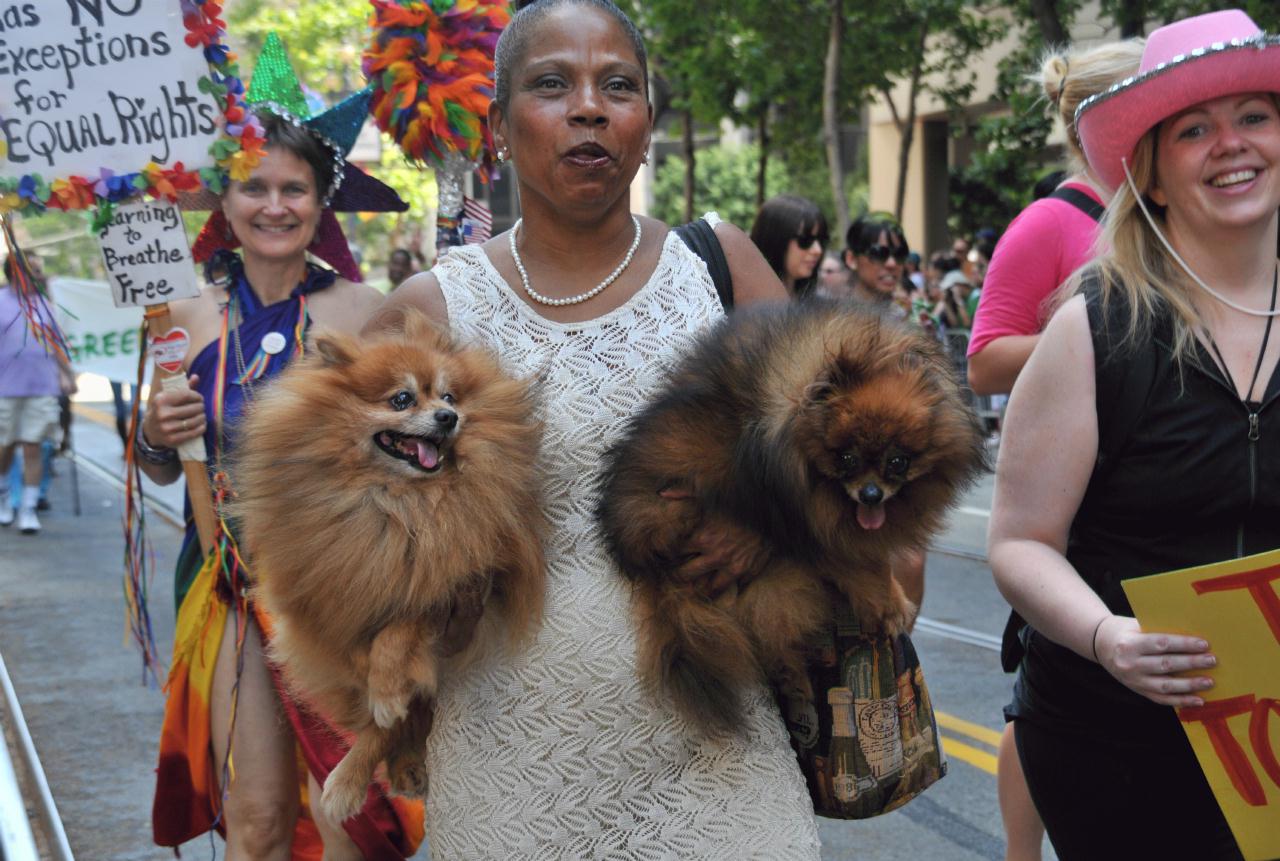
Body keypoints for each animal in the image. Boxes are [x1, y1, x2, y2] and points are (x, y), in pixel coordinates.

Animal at [232, 309, 542, 818]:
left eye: (448, 396)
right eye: (402, 399)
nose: (449, 417)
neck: (397, 503)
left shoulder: (450, 586)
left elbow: (396, 635)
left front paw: (386, 690)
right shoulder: (325, 608)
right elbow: (363, 651)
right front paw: (379, 689)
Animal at [593, 299, 983, 736]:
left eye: (898, 462)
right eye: (846, 459)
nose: (870, 494)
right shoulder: (805, 524)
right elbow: (860, 565)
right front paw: (890, 604)